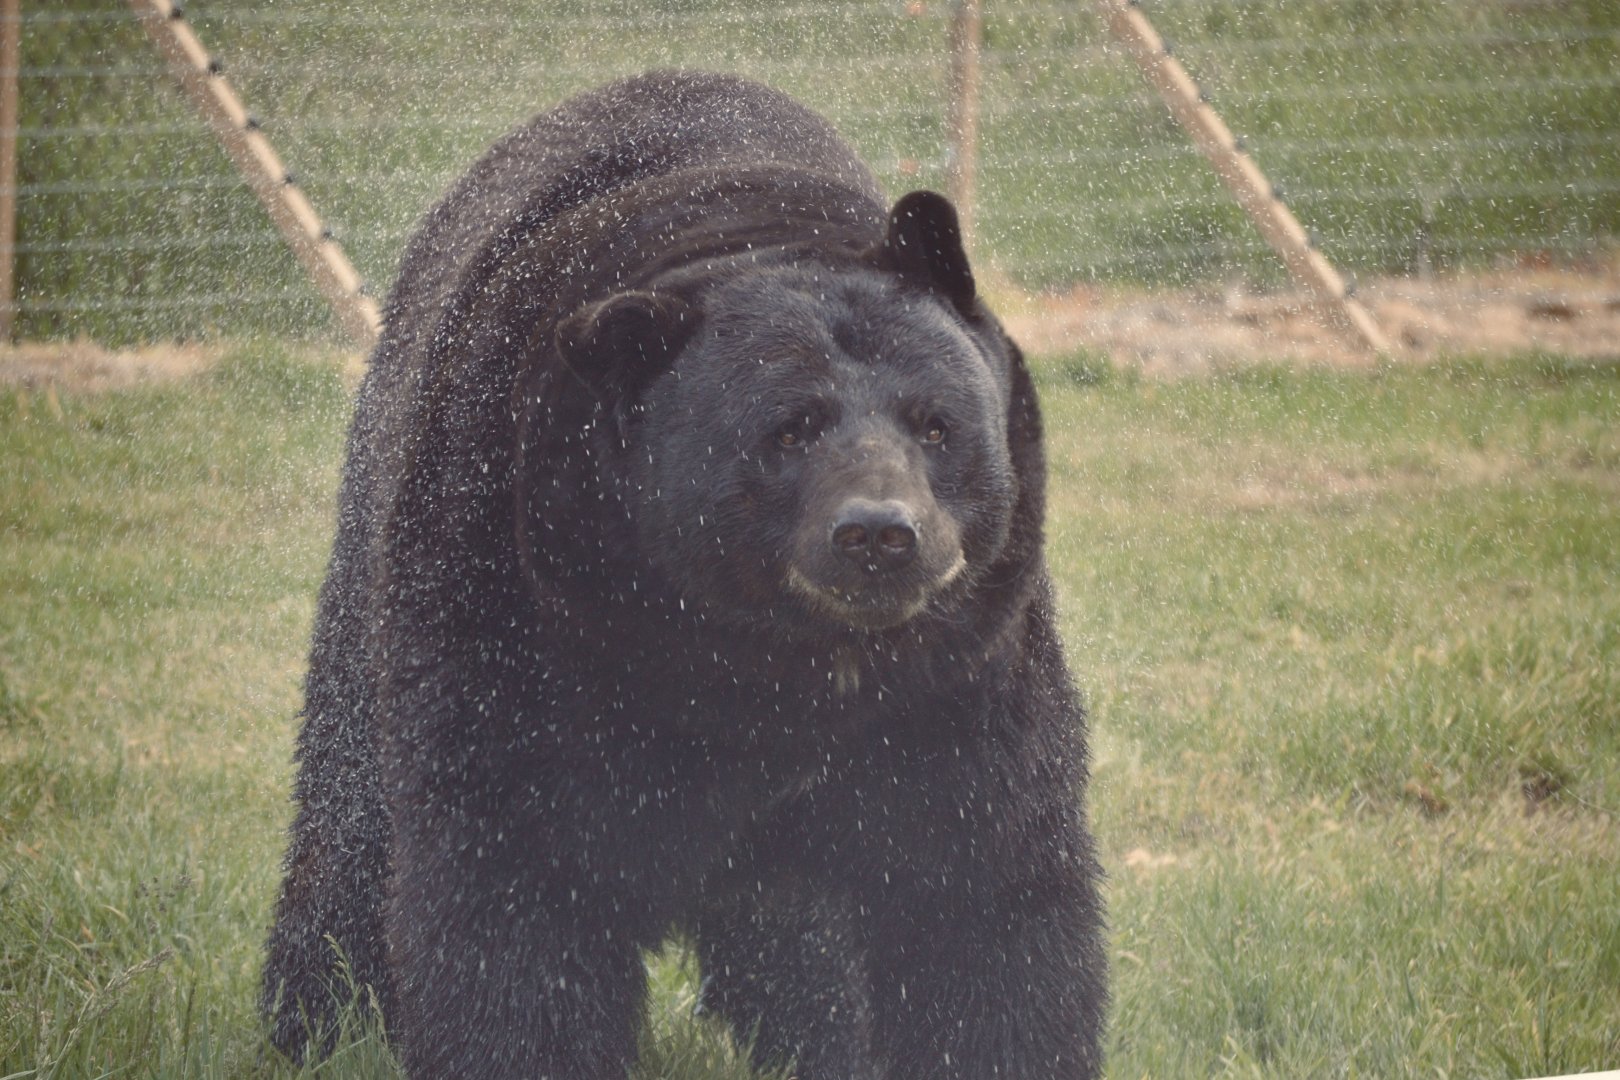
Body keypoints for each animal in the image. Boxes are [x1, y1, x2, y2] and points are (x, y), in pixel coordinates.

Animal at [261, 70, 1106, 1079]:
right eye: (789, 431)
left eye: (935, 423)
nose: (879, 535)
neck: (747, 664)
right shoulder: (513, 599)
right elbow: (514, 889)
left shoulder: (959, 682)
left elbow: (980, 890)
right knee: (349, 814)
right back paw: (316, 1021)